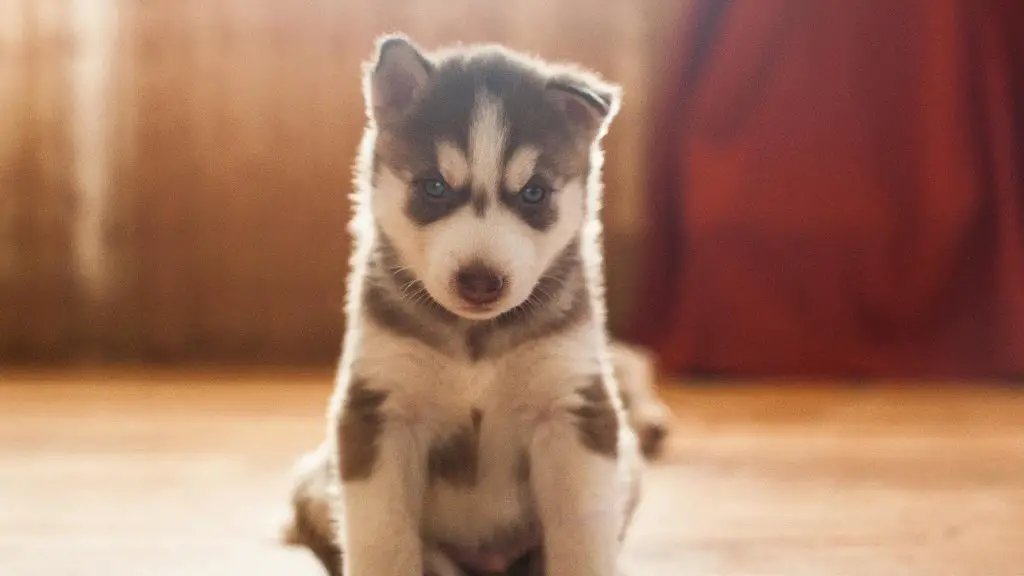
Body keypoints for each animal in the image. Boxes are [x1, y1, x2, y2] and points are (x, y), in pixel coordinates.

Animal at [284, 36, 651, 573]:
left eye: (533, 192)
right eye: (435, 186)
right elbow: (382, 539)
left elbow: (582, 537)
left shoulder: (573, 409)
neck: (475, 343)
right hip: (317, 483)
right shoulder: (379, 412)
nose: (481, 281)